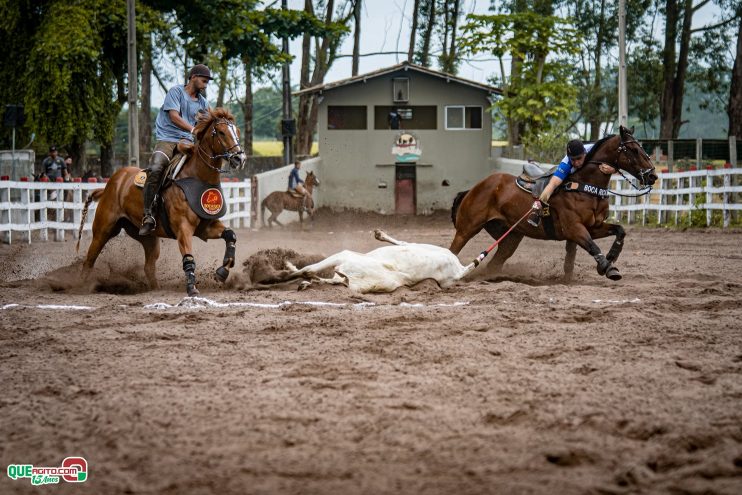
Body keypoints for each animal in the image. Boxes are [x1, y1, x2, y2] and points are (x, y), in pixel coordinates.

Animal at [77, 108, 247, 294]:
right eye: (222, 132)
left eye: (238, 132)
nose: (240, 159)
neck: (196, 177)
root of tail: (113, 182)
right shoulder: (183, 229)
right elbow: (188, 258)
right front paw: (192, 289)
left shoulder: (205, 227)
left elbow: (231, 235)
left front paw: (223, 271)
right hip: (103, 230)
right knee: (88, 261)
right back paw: (81, 286)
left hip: (148, 238)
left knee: (149, 267)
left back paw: (156, 289)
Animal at [282, 231, 480, 292]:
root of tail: (459, 269)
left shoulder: (343, 256)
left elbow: (308, 270)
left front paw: (287, 270)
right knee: (405, 243)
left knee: (406, 243)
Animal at [450, 127, 660, 282]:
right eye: (634, 150)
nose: (652, 176)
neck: (584, 187)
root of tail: (474, 188)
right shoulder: (574, 228)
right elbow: (592, 247)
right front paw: (608, 268)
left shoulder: (593, 227)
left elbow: (619, 231)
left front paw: (611, 258)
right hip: (467, 228)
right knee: (453, 250)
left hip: (511, 237)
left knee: (495, 262)